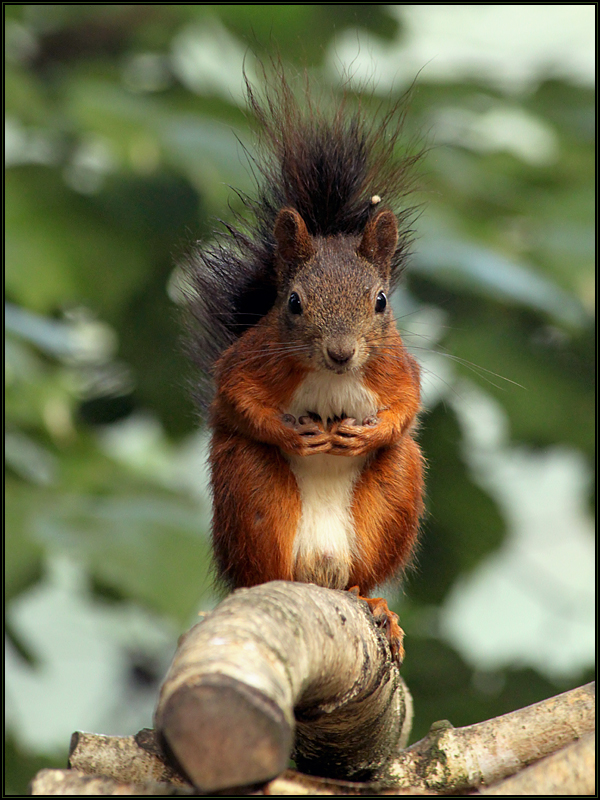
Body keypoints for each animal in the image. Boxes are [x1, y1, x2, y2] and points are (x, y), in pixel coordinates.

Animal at [185, 70, 424, 656]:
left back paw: (373, 602)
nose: (341, 352)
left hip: (396, 490)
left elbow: (408, 406)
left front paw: (367, 432)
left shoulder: (396, 367)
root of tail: (321, 571)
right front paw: (294, 433)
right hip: (249, 488)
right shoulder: (249, 359)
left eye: (380, 301)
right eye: (293, 302)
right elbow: (234, 397)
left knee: (366, 567)